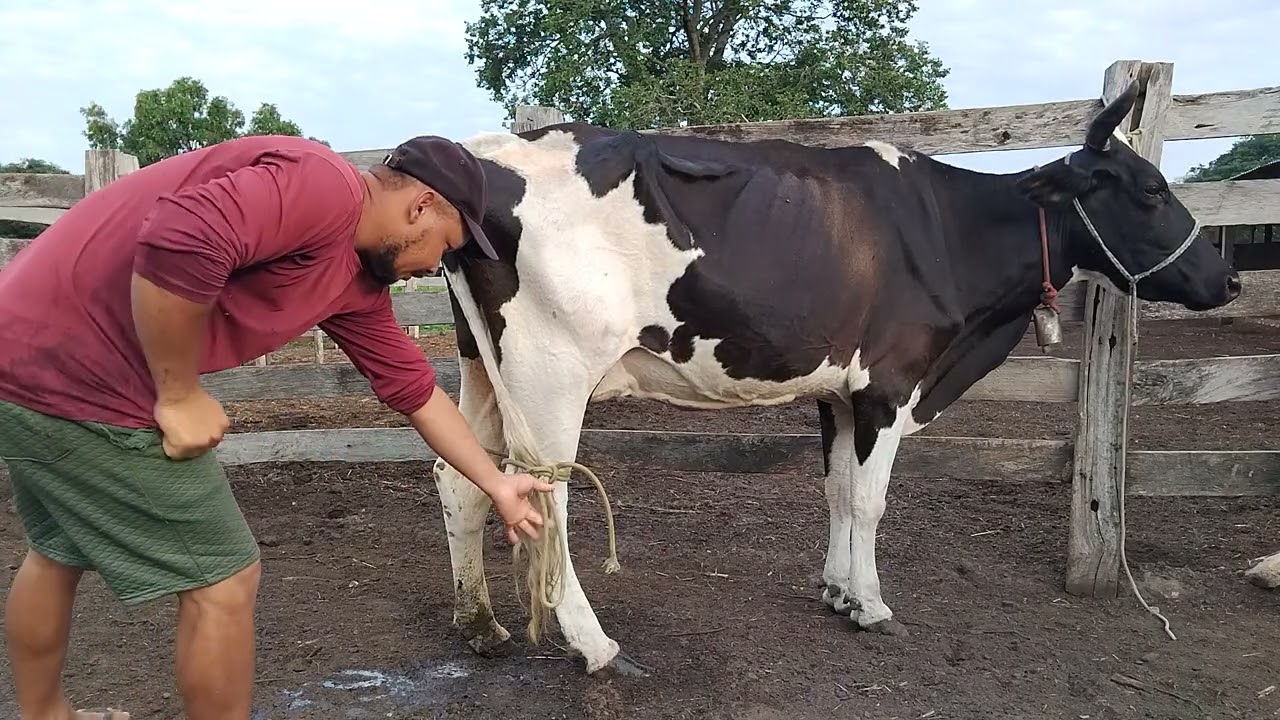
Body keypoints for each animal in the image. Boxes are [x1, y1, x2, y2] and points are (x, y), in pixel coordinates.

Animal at [428, 80, 1241, 677]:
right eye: (1148, 191)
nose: (1229, 277)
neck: (948, 233)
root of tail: (483, 153)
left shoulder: (839, 392)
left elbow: (840, 492)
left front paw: (837, 590)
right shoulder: (891, 384)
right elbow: (873, 500)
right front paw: (873, 606)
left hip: (482, 365)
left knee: (460, 478)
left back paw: (481, 623)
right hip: (551, 372)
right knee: (546, 497)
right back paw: (594, 645)